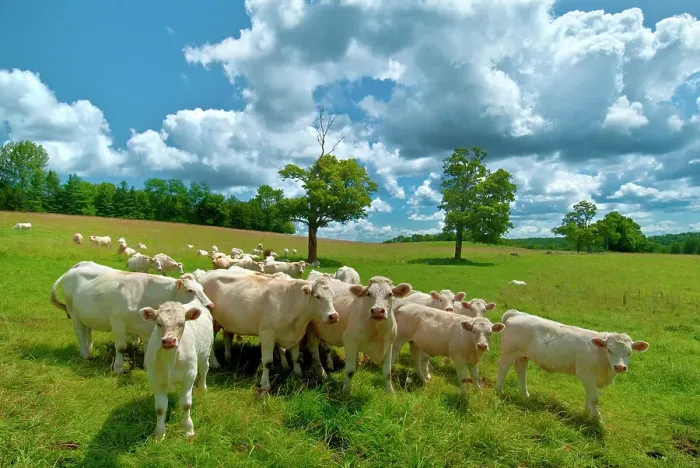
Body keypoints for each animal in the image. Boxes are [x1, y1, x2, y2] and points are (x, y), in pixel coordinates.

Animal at [49, 261, 214, 373]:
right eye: (190, 290)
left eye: (202, 288)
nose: (210, 305)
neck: (147, 294)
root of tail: (77, 266)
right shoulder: (117, 322)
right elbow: (121, 347)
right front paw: (118, 368)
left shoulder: (148, 327)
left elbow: (147, 347)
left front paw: (147, 366)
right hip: (74, 313)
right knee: (79, 332)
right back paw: (85, 354)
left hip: (86, 314)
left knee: (87, 331)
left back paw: (89, 349)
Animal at [140, 299, 215, 440]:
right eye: (159, 323)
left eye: (182, 323)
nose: (169, 341)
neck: (170, 360)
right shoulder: (155, 380)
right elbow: (160, 408)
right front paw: (159, 433)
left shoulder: (189, 376)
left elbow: (186, 404)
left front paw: (188, 429)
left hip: (206, 354)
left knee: (204, 371)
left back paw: (203, 389)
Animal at [198, 272, 339, 391]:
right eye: (317, 296)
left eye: (332, 296)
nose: (334, 316)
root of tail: (205, 276)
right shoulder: (267, 334)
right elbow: (267, 362)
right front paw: (265, 384)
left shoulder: (295, 335)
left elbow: (295, 357)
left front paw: (298, 374)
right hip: (211, 322)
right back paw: (215, 363)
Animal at [495, 310, 649, 421]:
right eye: (610, 350)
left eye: (629, 352)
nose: (620, 367)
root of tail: (517, 314)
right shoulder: (586, 374)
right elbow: (594, 398)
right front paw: (598, 420)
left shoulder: (592, 378)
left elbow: (589, 396)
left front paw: (587, 414)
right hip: (509, 352)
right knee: (503, 368)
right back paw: (499, 390)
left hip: (522, 355)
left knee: (521, 371)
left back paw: (526, 396)